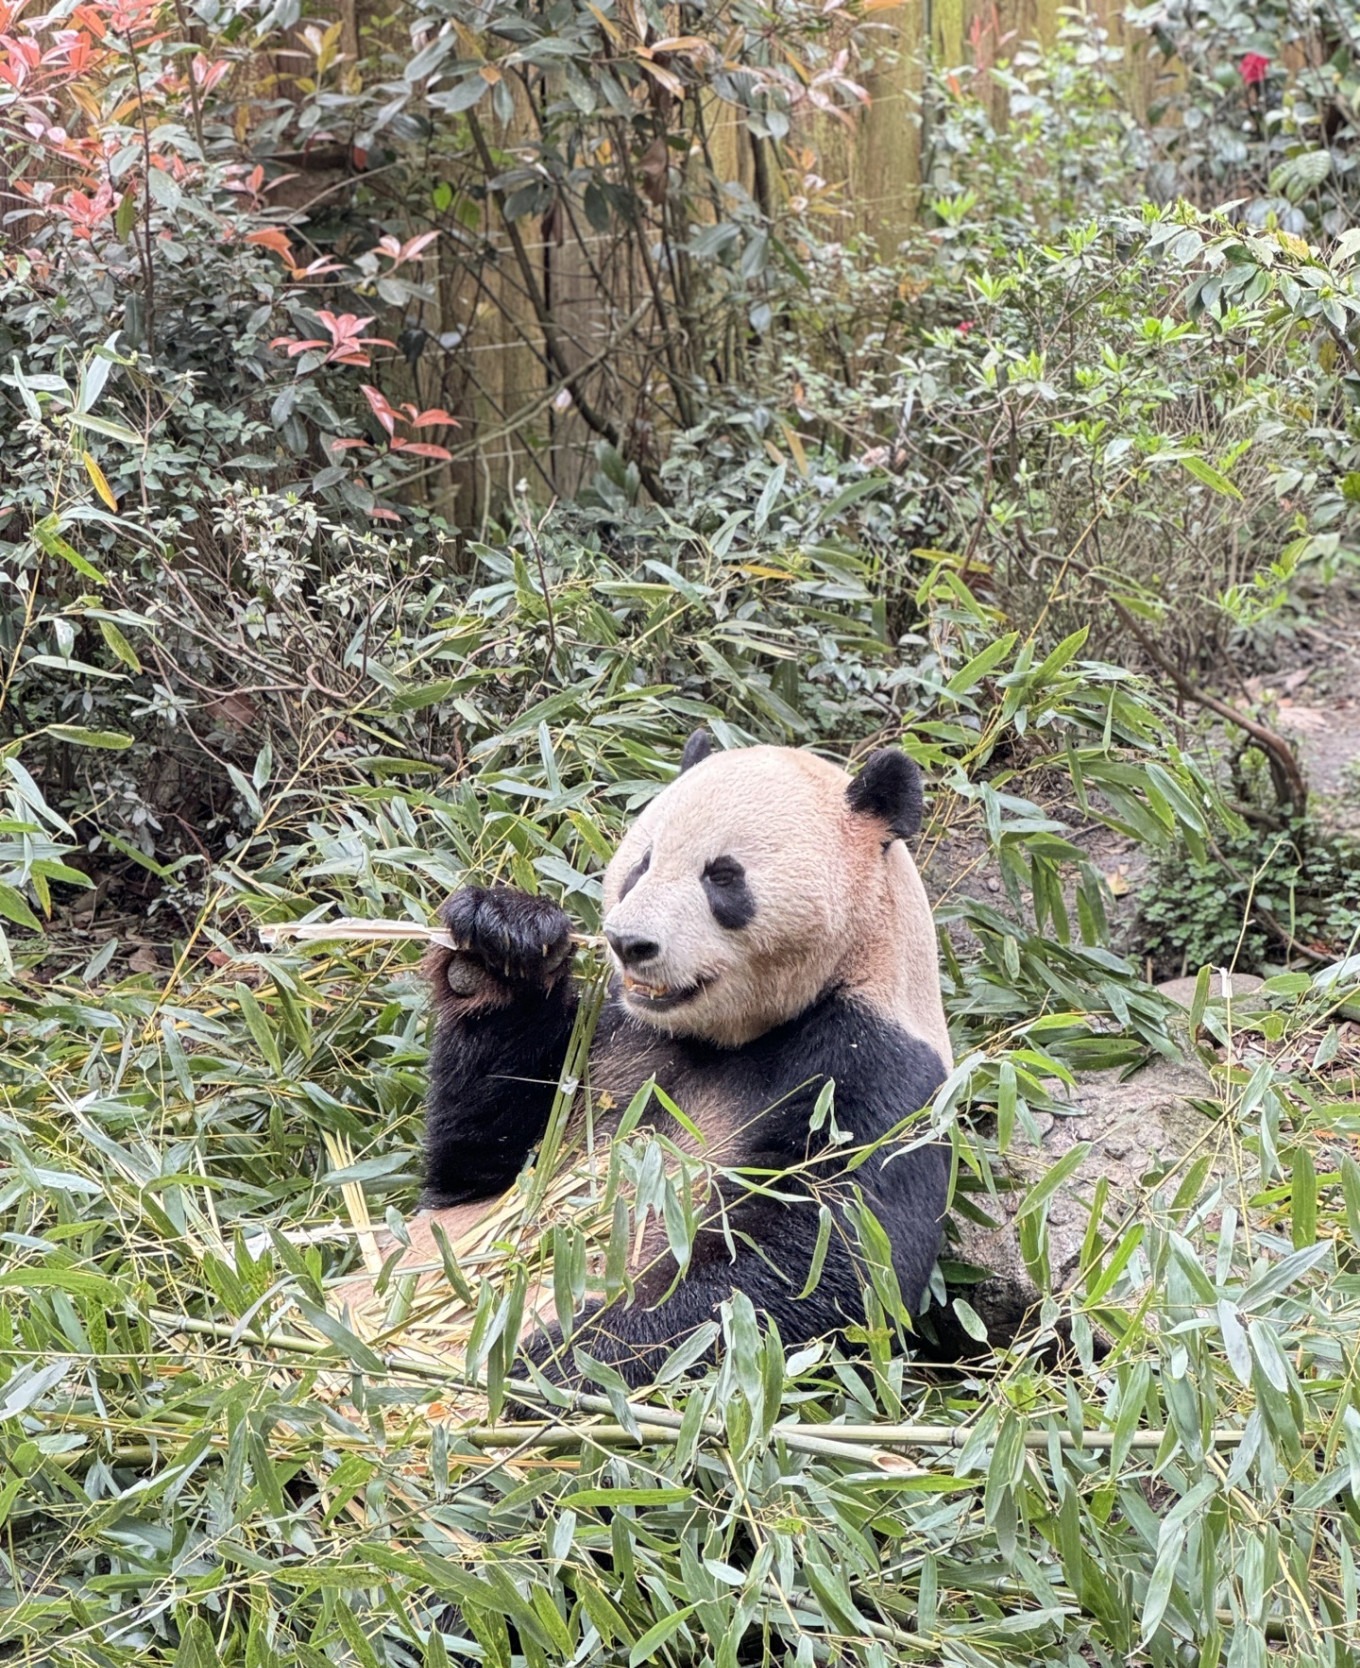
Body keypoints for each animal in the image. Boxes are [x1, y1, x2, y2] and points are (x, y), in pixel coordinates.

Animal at [386, 730, 952, 1392]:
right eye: (642, 863)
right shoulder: (614, 1034)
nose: (630, 943)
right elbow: (483, 1167)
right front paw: (500, 945)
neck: (722, 1035)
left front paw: (554, 1360)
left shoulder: (871, 1070)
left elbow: (813, 1263)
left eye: (723, 877)